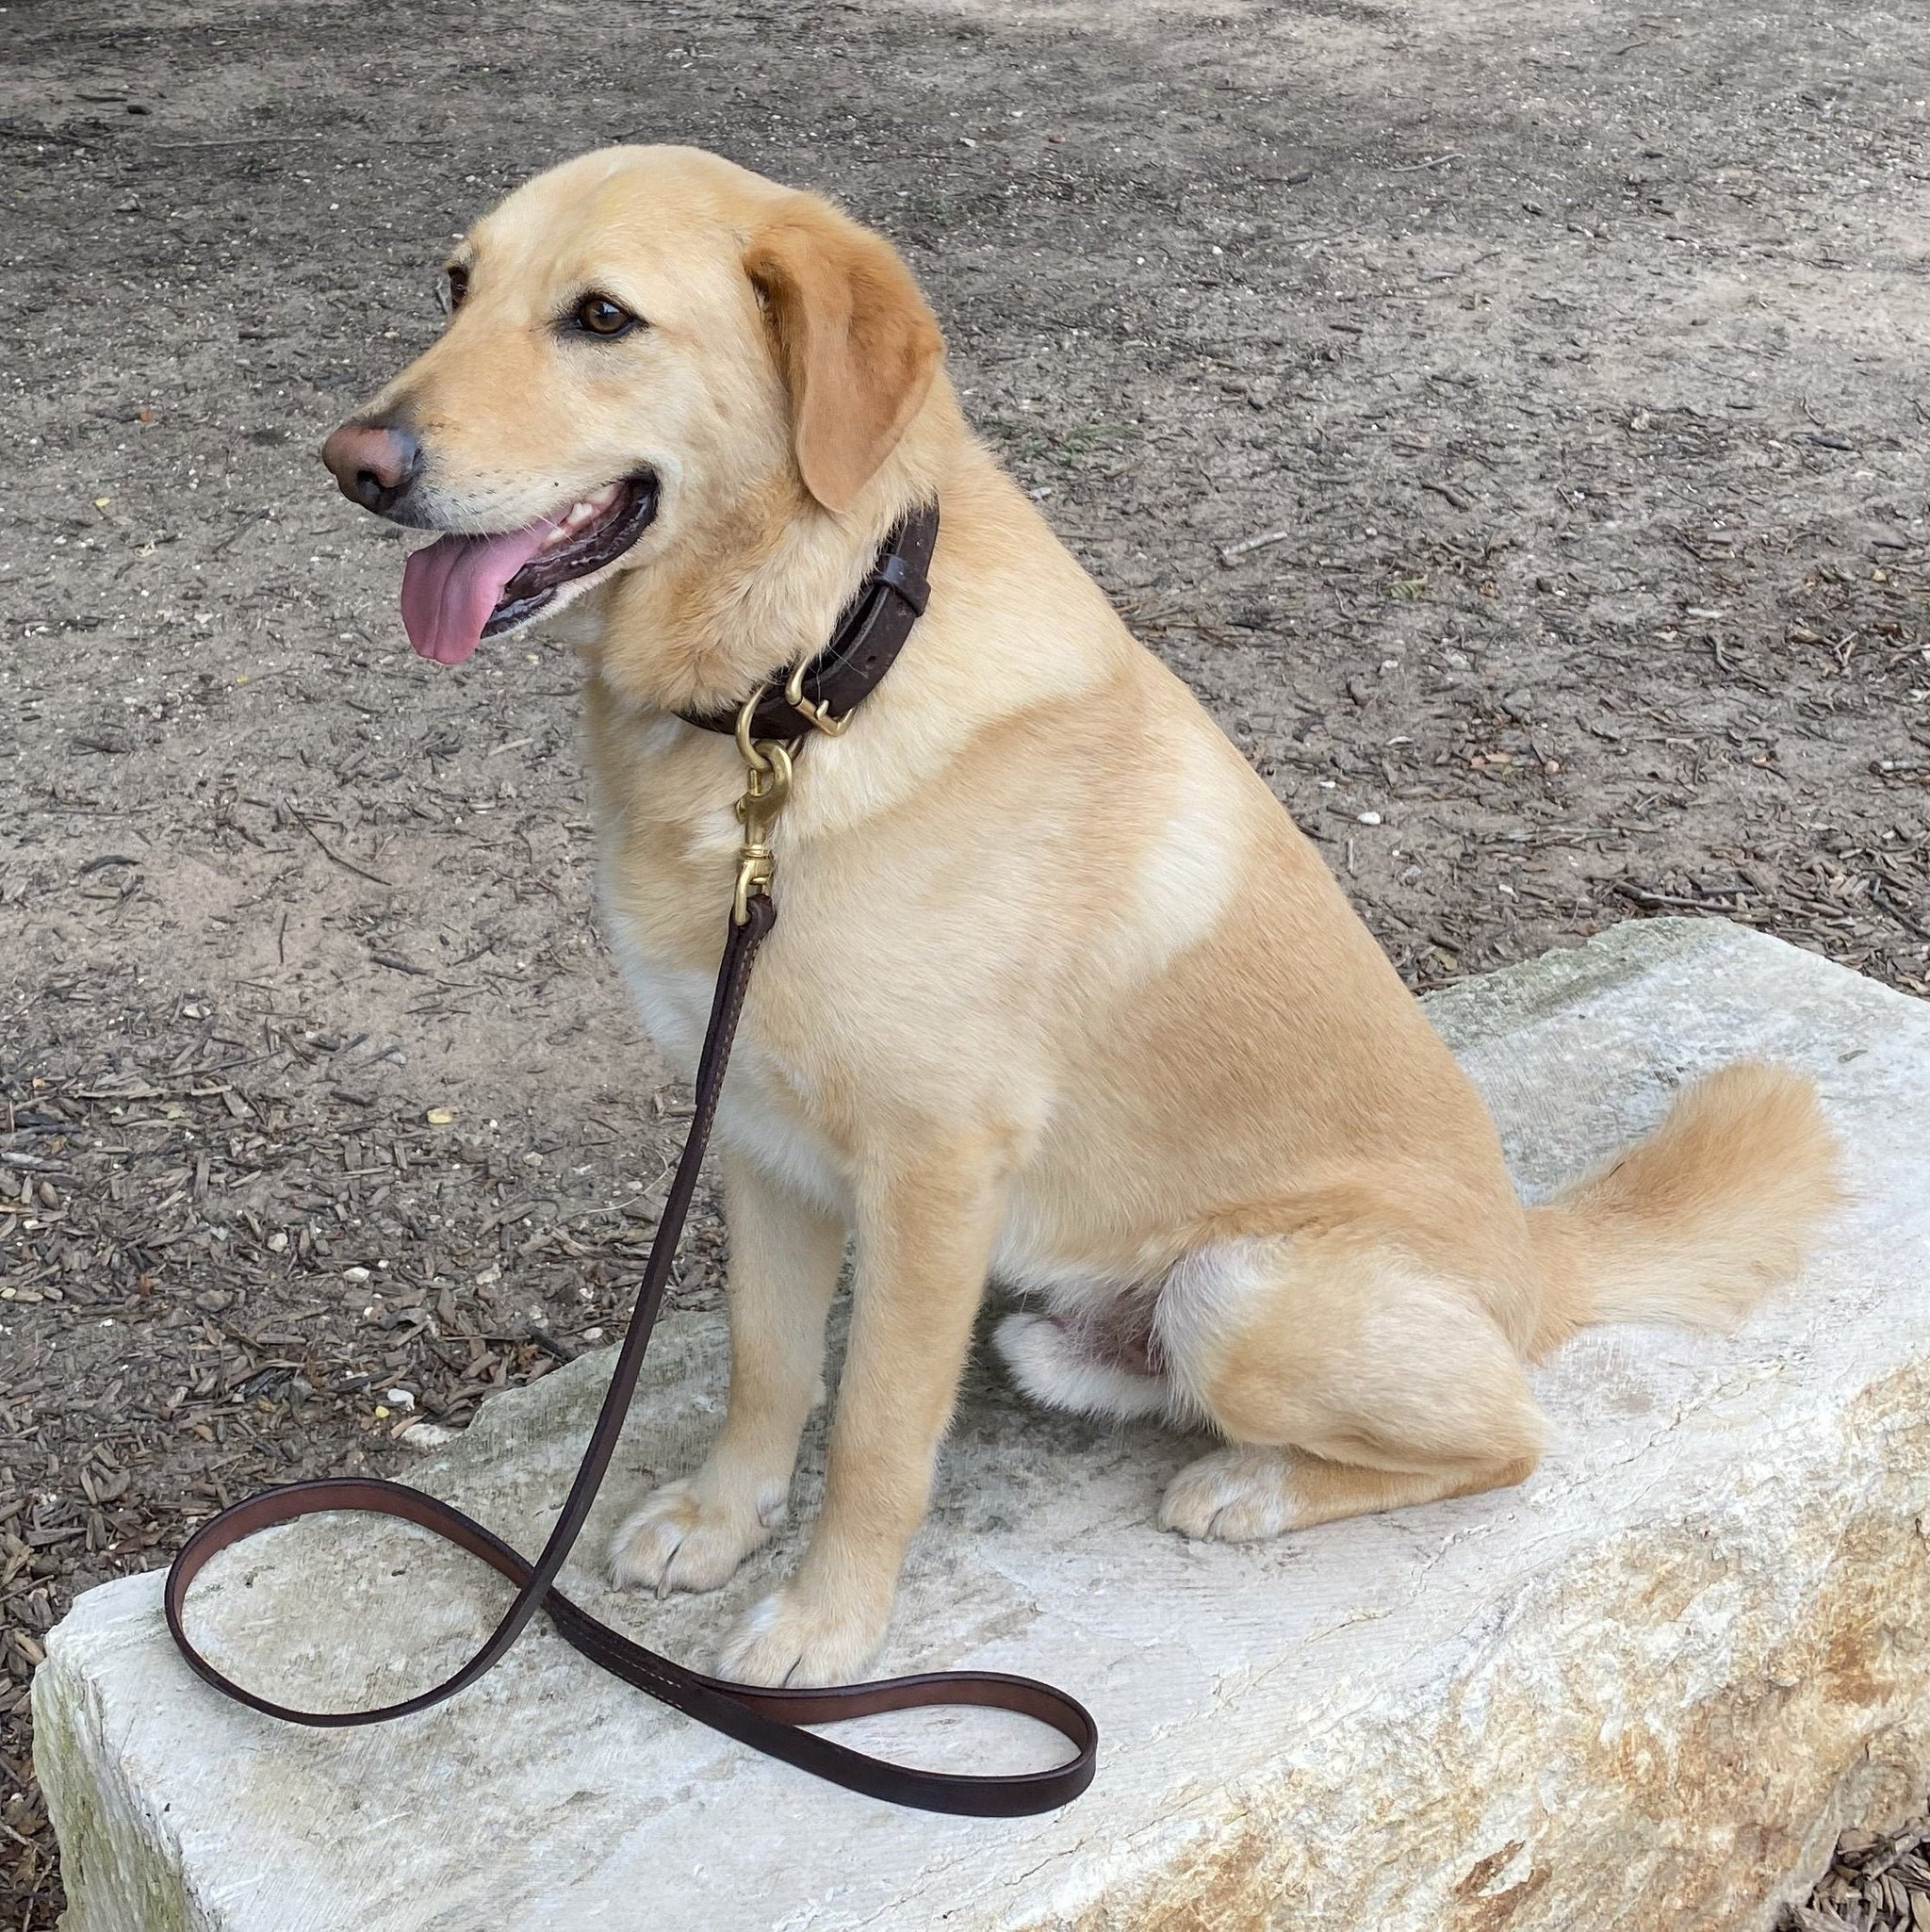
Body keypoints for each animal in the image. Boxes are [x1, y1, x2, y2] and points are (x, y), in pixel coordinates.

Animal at [324, 146, 1846, 1692]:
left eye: (602, 318)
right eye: (456, 285)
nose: (354, 467)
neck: (799, 693)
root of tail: (1535, 1267)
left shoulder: (933, 1168)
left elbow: (873, 1430)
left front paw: (827, 1623)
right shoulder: (755, 1132)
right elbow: (770, 1364)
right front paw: (719, 1518)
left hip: (1236, 1288)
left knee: (1510, 1443)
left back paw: (1254, 1486)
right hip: (1060, 1328)